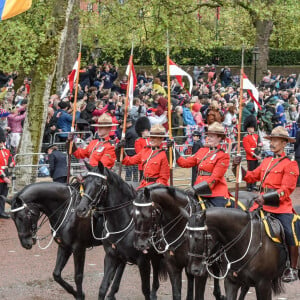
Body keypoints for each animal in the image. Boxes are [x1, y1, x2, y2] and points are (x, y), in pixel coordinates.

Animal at [75, 162, 166, 300]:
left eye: (98, 184)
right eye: (84, 184)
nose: (81, 209)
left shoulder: (143, 261)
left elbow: (145, 290)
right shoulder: (111, 257)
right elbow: (103, 287)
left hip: (156, 254)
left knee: (156, 274)